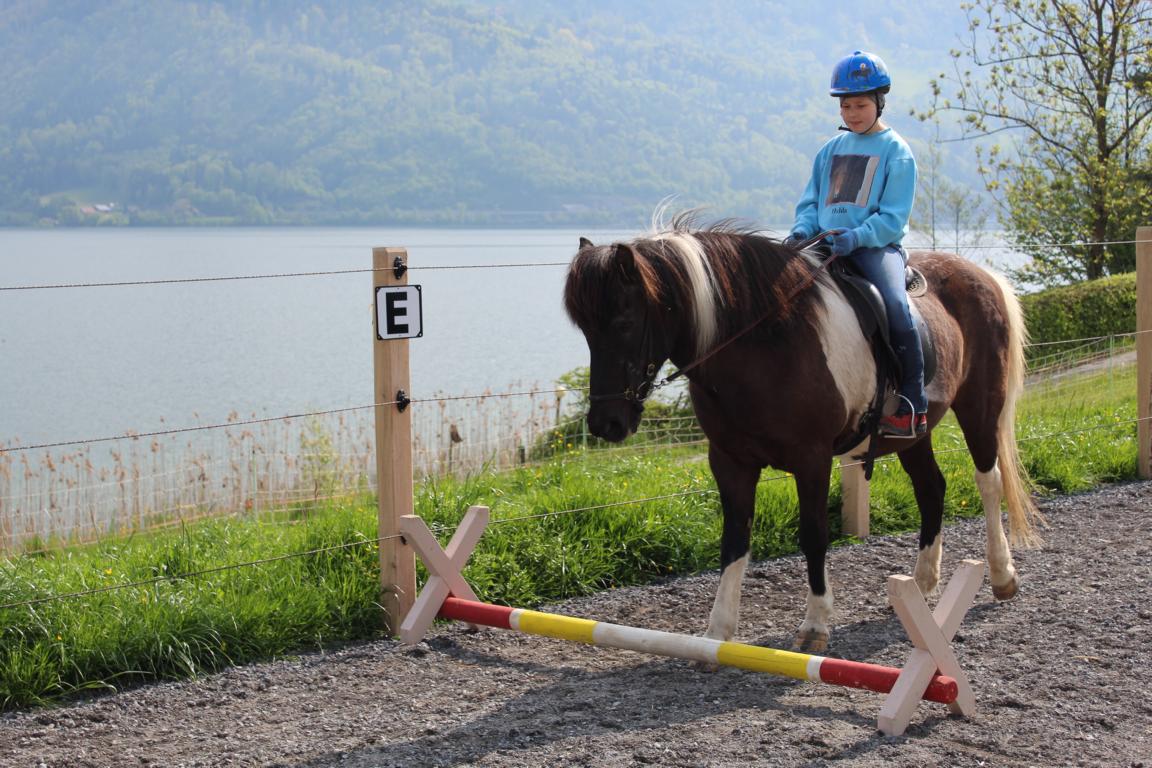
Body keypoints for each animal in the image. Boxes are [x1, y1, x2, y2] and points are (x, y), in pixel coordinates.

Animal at [563, 216, 1041, 652]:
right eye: (585, 330)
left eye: (624, 322)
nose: (605, 423)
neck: (765, 343)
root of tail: (983, 275)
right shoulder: (730, 462)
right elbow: (734, 540)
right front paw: (717, 633)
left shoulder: (812, 459)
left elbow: (813, 534)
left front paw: (815, 625)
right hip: (912, 435)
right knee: (931, 488)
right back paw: (922, 587)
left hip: (980, 406)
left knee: (988, 481)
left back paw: (1002, 574)